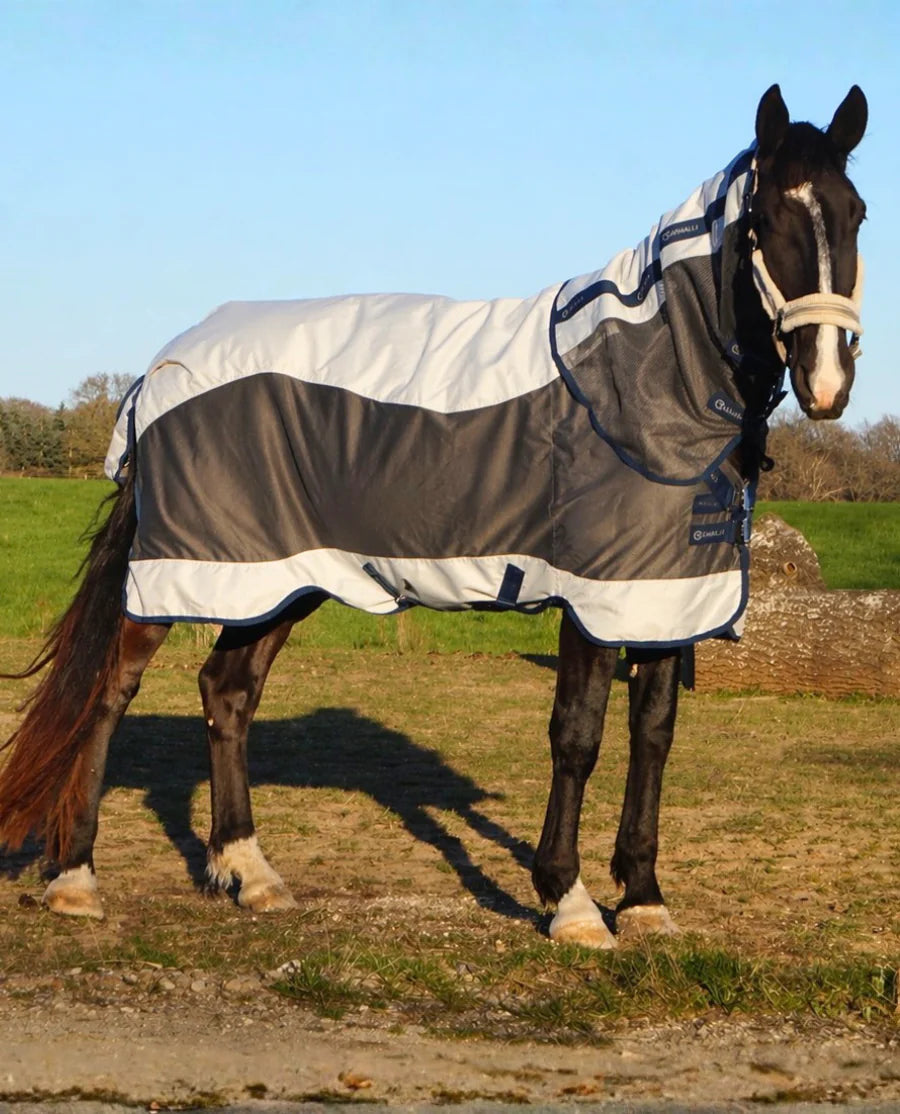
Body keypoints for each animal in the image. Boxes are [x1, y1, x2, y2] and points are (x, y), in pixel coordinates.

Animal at [0, 85, 868, 947]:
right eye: (768, 221)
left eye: (855, 212)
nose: (827, 382)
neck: (635, 384)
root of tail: (161, 368)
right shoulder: (591, 597)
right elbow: (578, 735)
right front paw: (571, 901)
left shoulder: (667, 595)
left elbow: (653, 735)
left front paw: (645, 897)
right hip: (184, 570)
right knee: (111, 690)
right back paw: (76, 878)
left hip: (274, 580)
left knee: (228, 691)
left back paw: (250, 872)